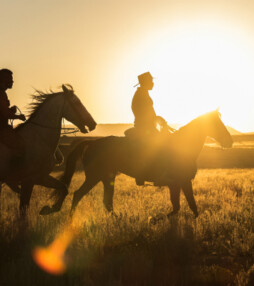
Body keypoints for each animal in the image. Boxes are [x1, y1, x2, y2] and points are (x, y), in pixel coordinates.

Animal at [0, 85, 96, 217]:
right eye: (77, 102)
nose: (93, 123)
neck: (38, 137)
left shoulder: (41, 177)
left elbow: (64, 188)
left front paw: (49, 209)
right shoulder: (29, 180)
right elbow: (23, 211)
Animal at [43, 109, 232, 217]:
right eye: (217, 123)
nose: (229, 141)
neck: (182, 147)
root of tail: (92, 143)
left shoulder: (179, 183)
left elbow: (184, 206)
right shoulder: (180, 182)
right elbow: (185, 206)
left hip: (107, 177)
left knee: (107, 202)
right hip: (94, 177)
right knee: (78, 195)